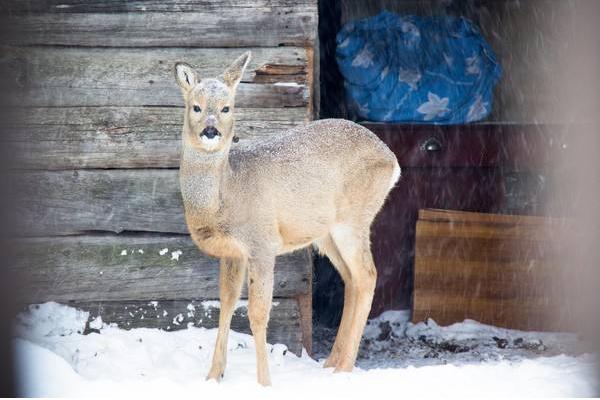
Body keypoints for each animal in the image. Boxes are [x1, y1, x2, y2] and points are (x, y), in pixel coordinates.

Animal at [173, 51, 398, 386]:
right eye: (195, 106)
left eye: (227, 107)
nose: (210, 131)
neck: (227, 195)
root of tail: (393, 161)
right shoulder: (233, 252)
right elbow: (226, 304)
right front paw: (213, 376)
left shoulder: (262, 242)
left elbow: (257, 312)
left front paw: (264, 382)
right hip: (325, 233)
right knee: (351, 278)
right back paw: (331, 363)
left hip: (354, 218)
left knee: (368, 275)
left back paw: (344, 368)